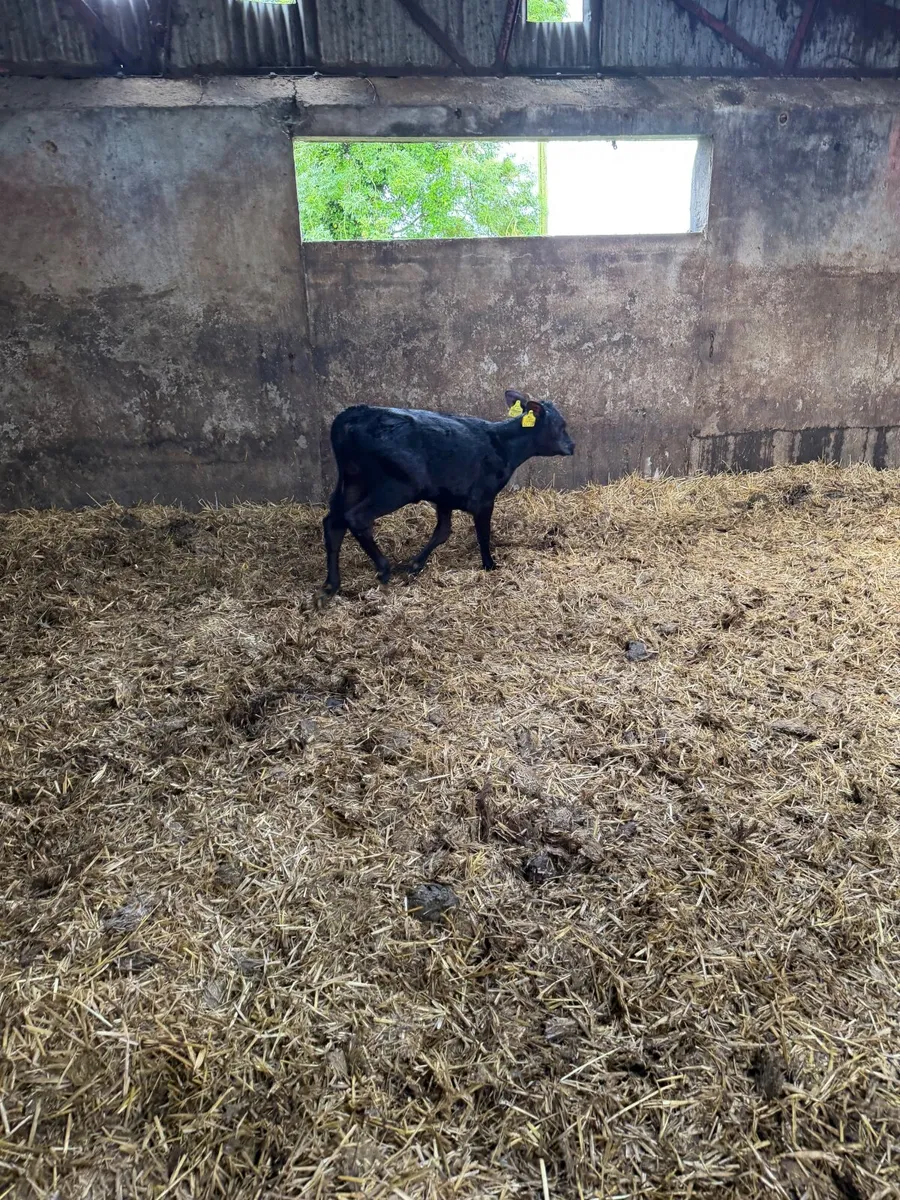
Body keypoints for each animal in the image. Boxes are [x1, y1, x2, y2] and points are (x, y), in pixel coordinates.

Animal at [319, 389, 575, 597]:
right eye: (561, 425)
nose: (572, 446)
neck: (502, 444)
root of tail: (352, 416)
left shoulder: (445, 497)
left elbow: (442, 532)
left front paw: (415, 565)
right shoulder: (484, 499)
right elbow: (483, 534)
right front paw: (489, 565)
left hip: (351, 481)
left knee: (333, 522)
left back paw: (331, 585)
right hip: (398, 486)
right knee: (357, 517)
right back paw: (382, 568)